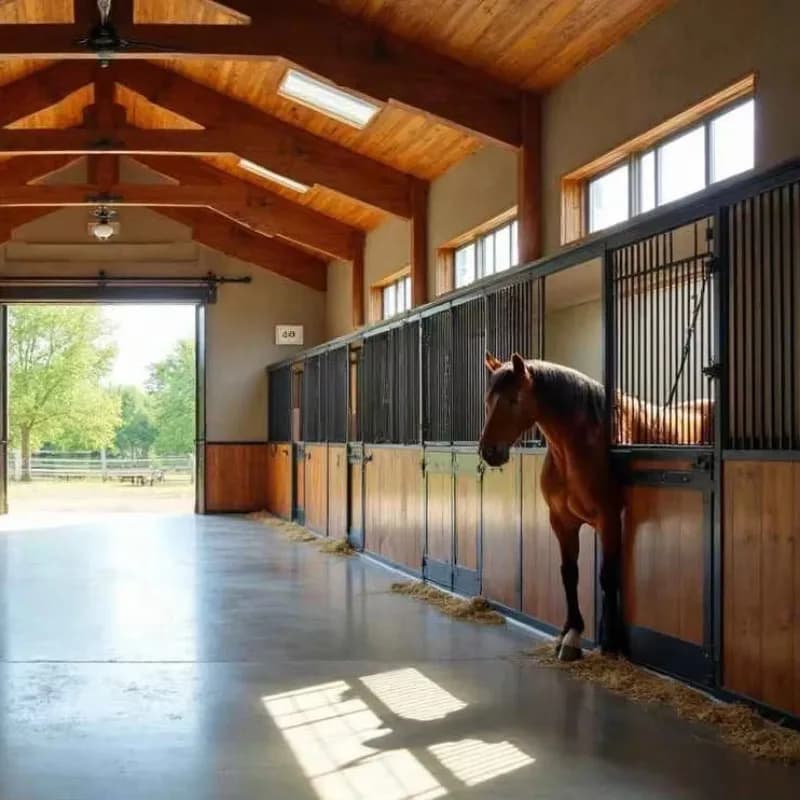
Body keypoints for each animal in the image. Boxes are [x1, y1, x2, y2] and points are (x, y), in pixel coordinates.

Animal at [478, 351, 713, 662]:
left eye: (514, 399)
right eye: (488, 400)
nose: (489, 452)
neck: (576, 447)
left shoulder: (609, 519)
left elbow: (607, 575)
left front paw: (610, 642)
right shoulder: (561, 521)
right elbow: (569, 573)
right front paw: (570, 634)